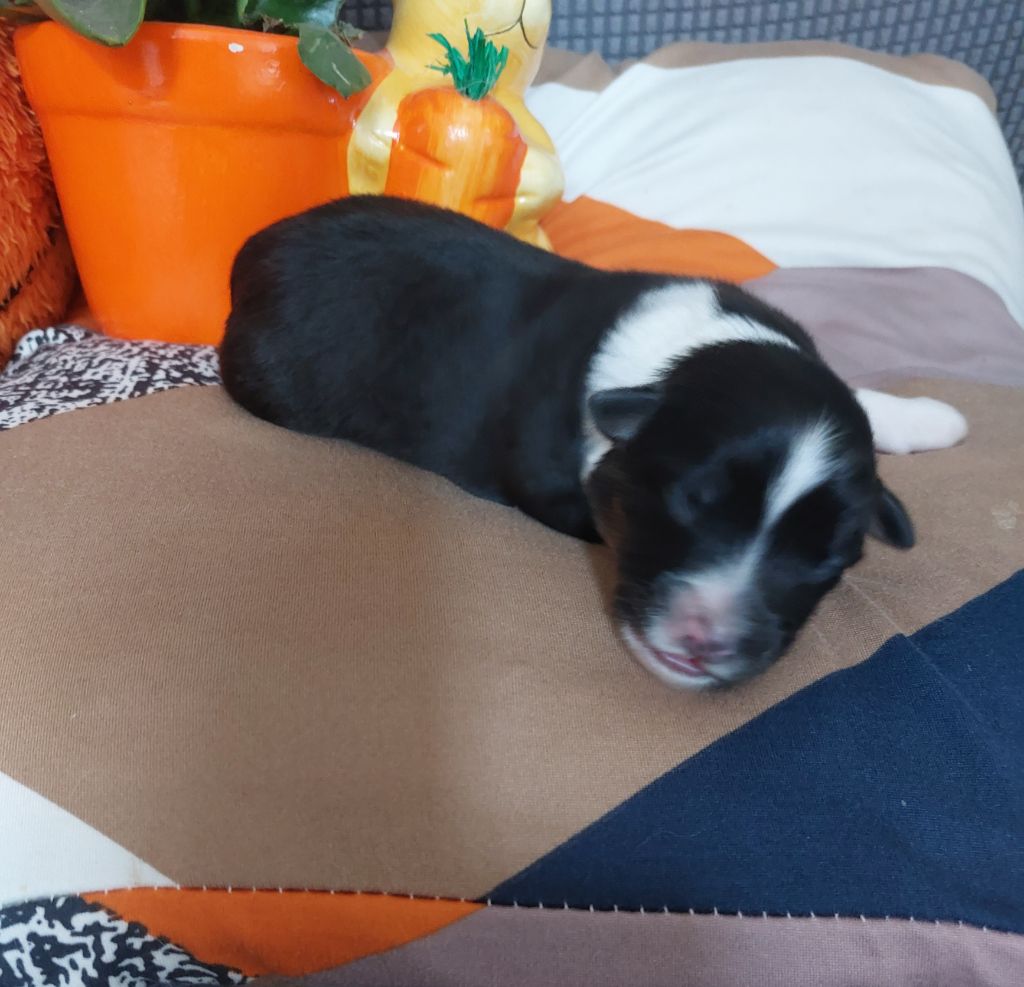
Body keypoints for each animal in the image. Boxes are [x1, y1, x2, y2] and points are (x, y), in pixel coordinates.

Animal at [219, 196, 967, 689]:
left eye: (827, 560)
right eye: (689, 503)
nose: (706, 641)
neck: (683, 356)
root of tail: (252, 250)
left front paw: (927, 417)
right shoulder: (554, 484)